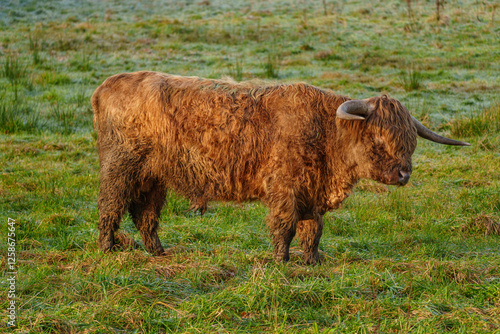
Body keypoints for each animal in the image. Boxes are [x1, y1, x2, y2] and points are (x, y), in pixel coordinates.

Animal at [93, 70, 468, 264]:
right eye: (379, 138)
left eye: (411, 141)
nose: (404, 174)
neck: (326, 133)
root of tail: (108, 84)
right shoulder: (285, 189)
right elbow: (285, 226)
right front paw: (281, 261)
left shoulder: (312, 194)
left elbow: (313, 230)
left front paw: (313, 261)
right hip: (119, 168)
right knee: (111, 206)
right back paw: (107, 248)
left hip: (152, 176)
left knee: (145, 214)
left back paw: (158, 252)